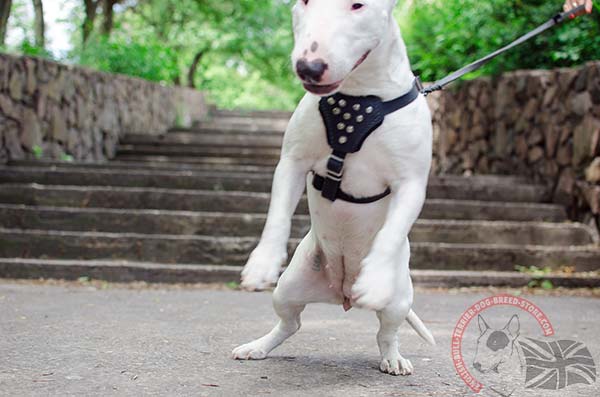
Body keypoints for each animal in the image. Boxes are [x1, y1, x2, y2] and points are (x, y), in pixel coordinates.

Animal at [232, 0, 434, 374]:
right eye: (305, 2)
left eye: (358, 5)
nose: (309, 67)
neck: (358, 98)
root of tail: (342, 294)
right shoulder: (292, 161)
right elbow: (277, 216)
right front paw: (262, 262)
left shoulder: (411, 183)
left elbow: (391, 231)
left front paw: (374, 277)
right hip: (289, 288)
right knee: (290, 323)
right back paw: (257, 347)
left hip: (399, 300)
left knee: (387, 332)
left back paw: (393, 358)